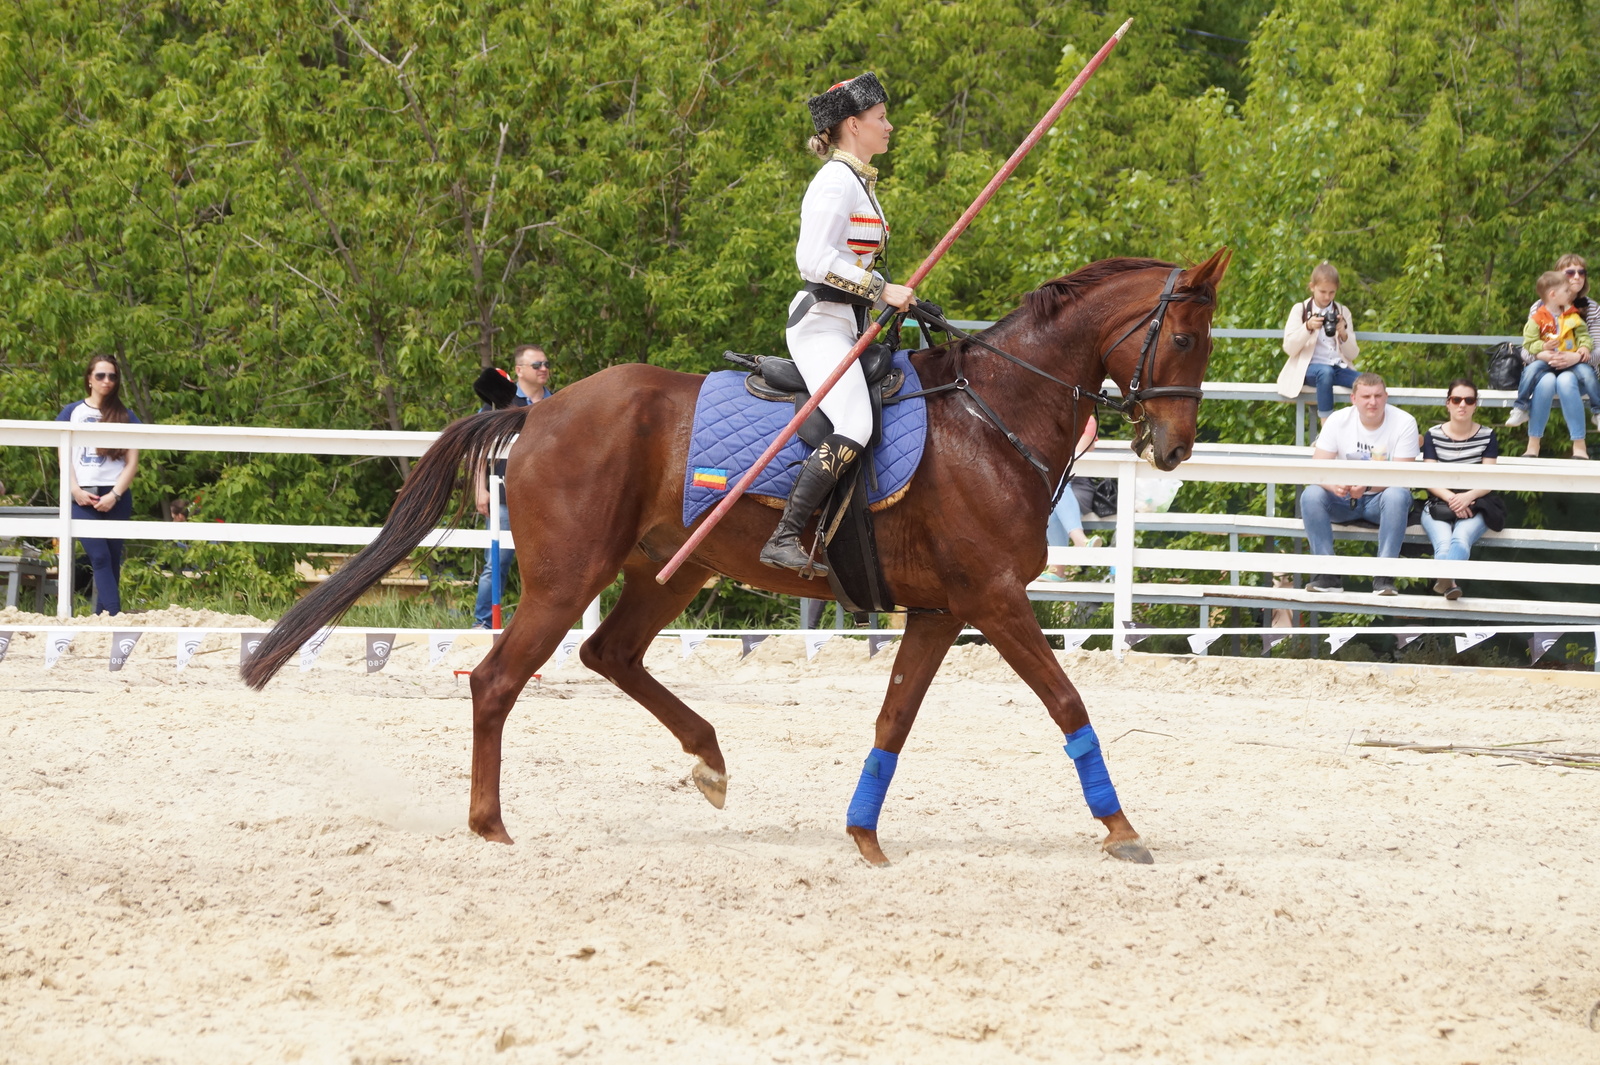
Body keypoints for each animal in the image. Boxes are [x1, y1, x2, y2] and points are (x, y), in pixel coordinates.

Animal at [243, 251, 1228, 863]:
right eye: (1184, 337)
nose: (1174, 448)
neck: (992, 417)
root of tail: (542, 408)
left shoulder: (941, 611)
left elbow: (893, 720)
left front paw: (864, 835)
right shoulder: (991, 599)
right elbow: (1067, 700)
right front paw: (1121, 827)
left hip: (666, 568)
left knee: (610, 653)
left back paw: (709, 758)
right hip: (567, 578)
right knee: (496, 680)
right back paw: (489, 823)